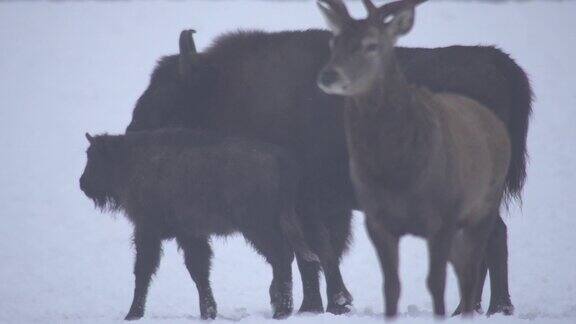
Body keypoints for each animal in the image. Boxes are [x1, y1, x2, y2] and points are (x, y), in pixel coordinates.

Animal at [79, 128, 320, 318]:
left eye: (94, 157)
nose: (83, 183)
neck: (131, 160)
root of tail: (281, 159)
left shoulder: (148, 230)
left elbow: (144, 270)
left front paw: (132, 314)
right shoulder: (190, 234)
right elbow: (199, 271)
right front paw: (208, 312)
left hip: (257, 228)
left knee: (281, 257)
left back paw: (282, 311)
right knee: (286, 257)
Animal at [320, 0, 512, 316]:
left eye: (372, 45)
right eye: (334, 42)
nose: (329, 75)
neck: (398, 171)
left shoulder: (442, 216)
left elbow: (436, 283)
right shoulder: (378, 219)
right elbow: (391, 286)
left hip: (483, 206)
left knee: (474, 267)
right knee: (465, 269)